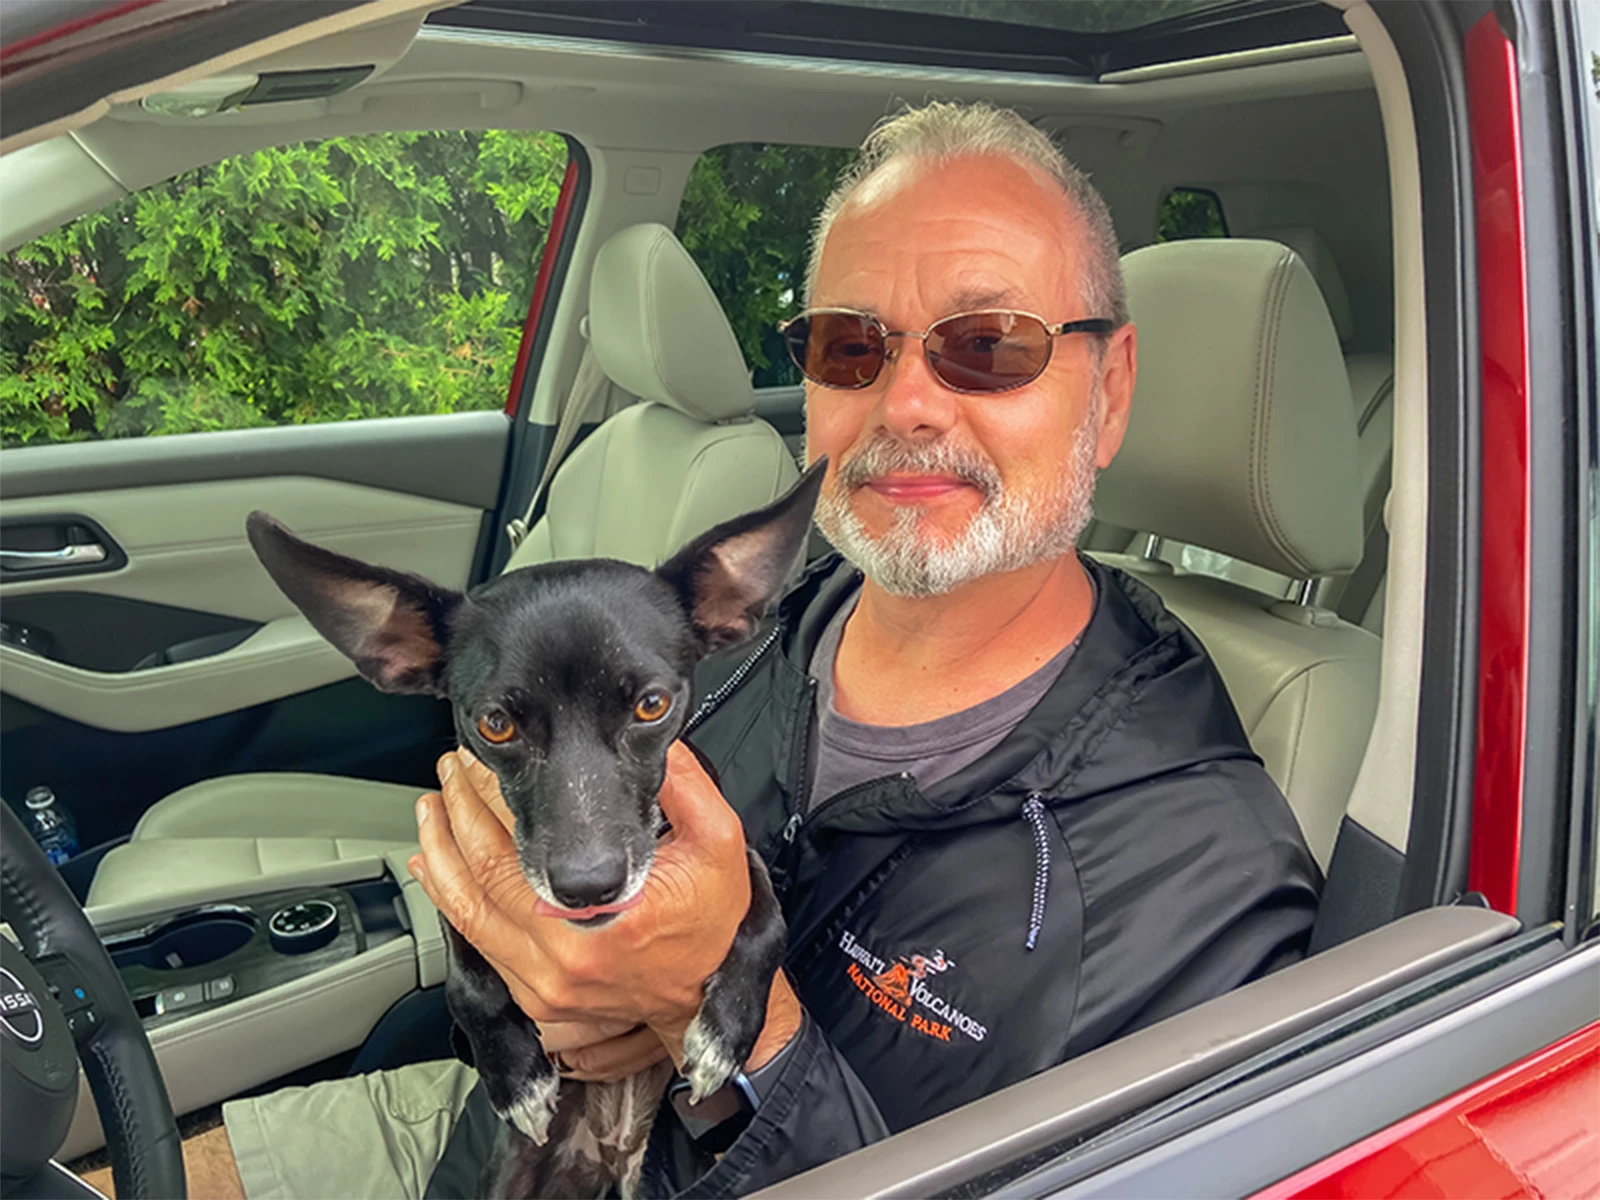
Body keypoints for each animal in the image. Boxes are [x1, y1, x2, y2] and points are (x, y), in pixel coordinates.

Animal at [249, 464, 825, 1196]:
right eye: (495, 724)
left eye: (653, 705)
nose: (588, 886)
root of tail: (606, 1152)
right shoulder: (449, 877)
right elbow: (466, 983)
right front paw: (514, 1075)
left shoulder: (733, 846)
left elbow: (767, 920)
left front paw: (725, 1033)